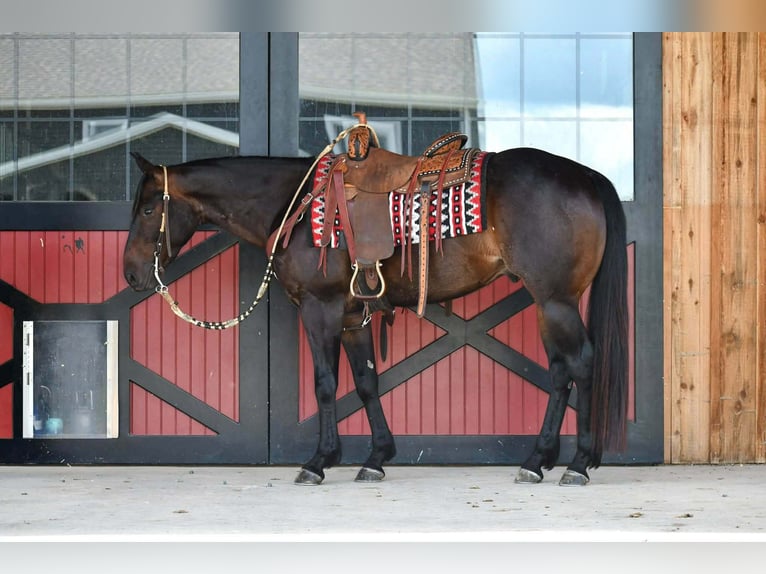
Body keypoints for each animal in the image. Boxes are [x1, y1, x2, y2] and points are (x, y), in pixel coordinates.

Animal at [123, 140, 628, 487]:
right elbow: (366, 381)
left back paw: (578, 464)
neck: (296, 206)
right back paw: (538, 461)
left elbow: (326, 384)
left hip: (557, 301)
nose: (130, 273)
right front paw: (376, 457)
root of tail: (585, 175)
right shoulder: (351, 317)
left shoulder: (320, 310)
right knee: (560, 372)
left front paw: (319, 462)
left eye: (148, 209)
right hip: (548, 304)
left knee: (582, 364)